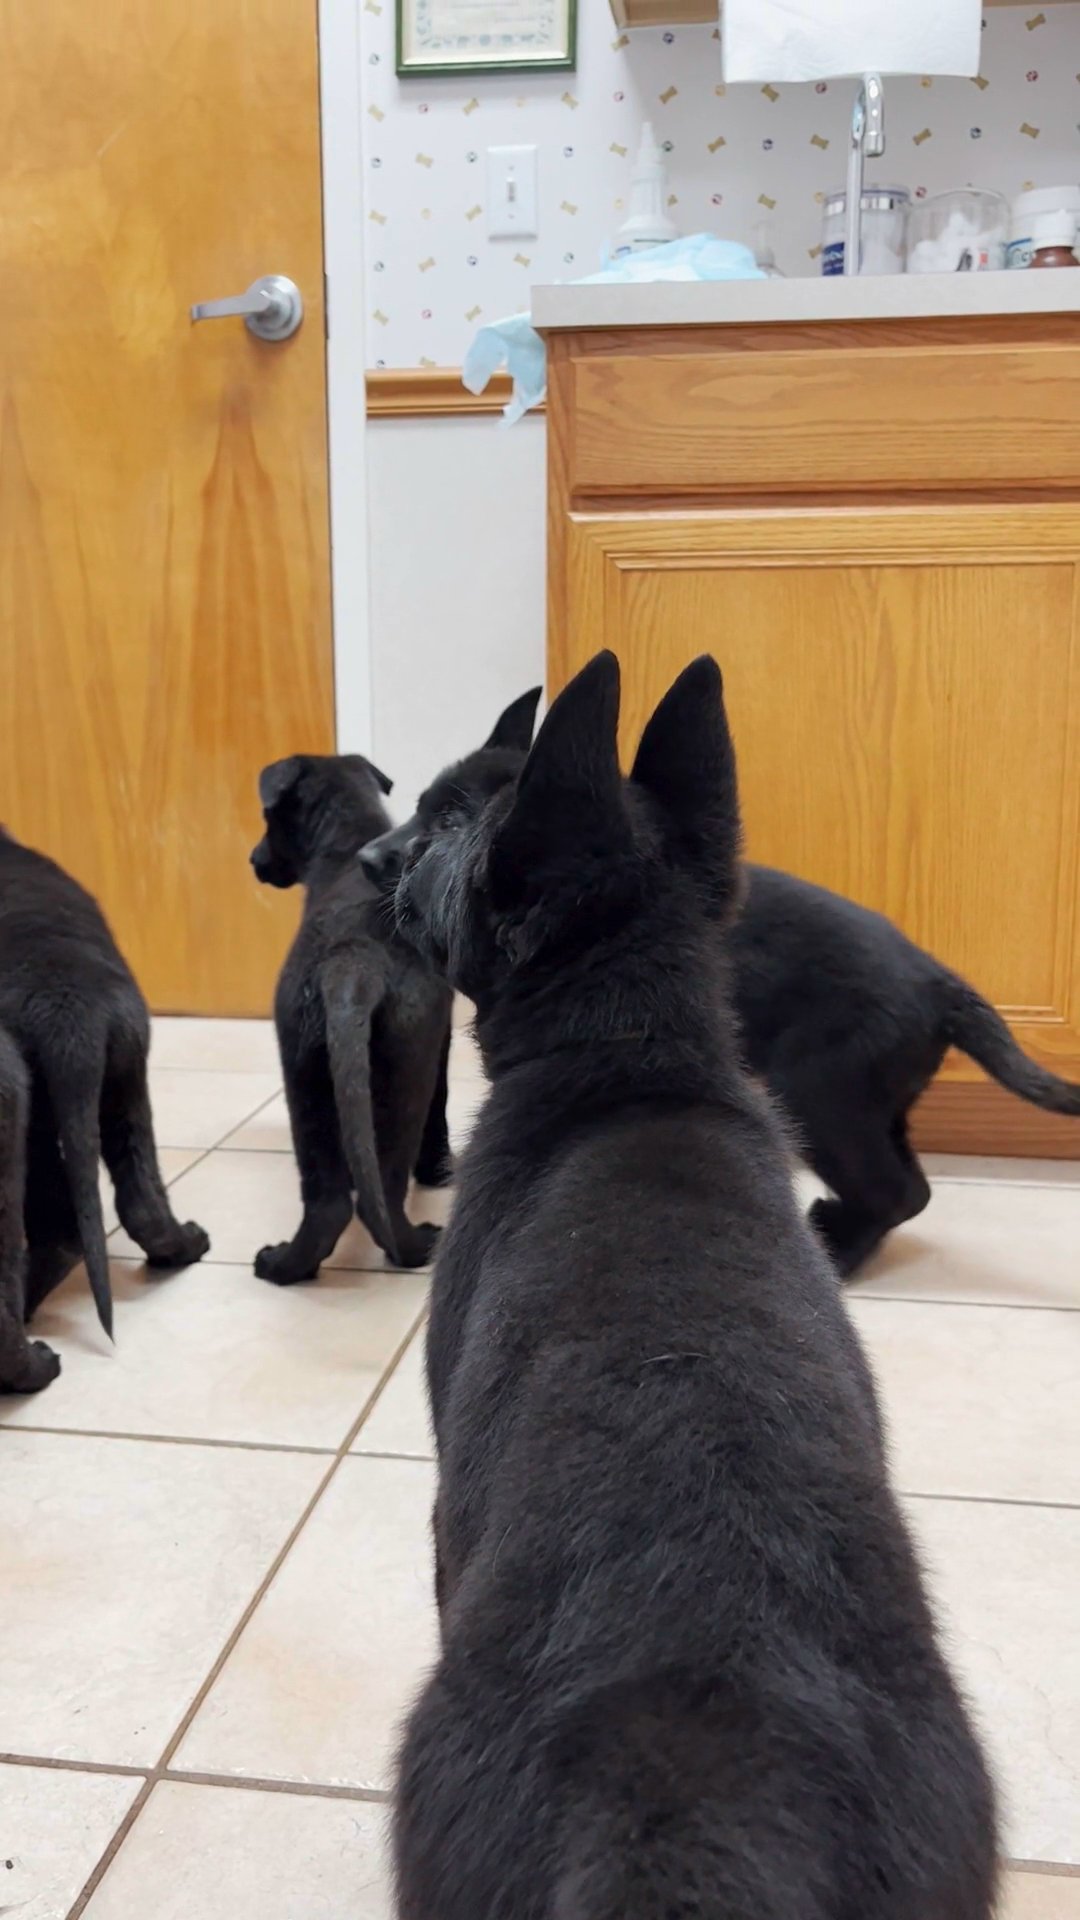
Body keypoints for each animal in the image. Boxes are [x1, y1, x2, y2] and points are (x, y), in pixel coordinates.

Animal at [251, 748, 449, 1274]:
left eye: (267, 820)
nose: (253, 860)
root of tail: (353, 960)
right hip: (408, 1071)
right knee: (383, 1194)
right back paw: (417, 1246)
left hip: (303, 1069)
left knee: (329, 1203)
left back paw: (284, 1265)